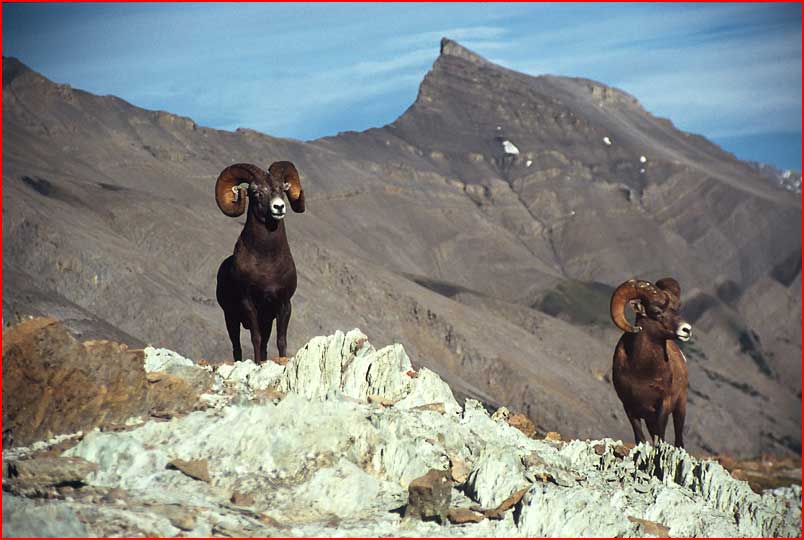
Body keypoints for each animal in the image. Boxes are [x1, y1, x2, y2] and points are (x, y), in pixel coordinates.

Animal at [214, 160, 304, 362]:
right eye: (256, 192)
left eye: (282, 188)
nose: (279, 207)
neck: (267, 264)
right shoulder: (249, 305)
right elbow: (255, 339)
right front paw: (256, 363)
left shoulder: (282, 306)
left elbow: (280, 341)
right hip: (230, 318)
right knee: (237, 347)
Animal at [608, 278, 692, 448]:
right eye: (657, 311)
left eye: (676, 309)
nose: (686, 330)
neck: (643, 372)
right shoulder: (630, 408)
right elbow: (640, 438)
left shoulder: (663, 405)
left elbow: (660, 438)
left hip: (680, 407)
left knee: (678, 439)